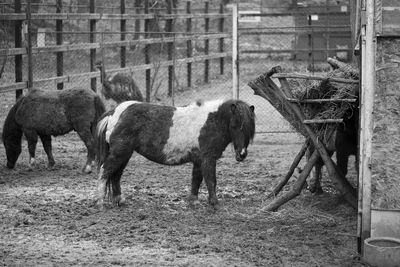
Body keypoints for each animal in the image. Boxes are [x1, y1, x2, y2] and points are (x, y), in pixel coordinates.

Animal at [95, 99, 255, 208]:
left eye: (249, 128)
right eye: (235, 125)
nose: (242, 154)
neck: (211, 121)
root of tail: (115, 112)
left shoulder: (199, 160)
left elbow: (196, 180)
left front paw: (193, 201)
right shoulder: (208, 159)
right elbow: (211, 180)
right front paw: (214, 203)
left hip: (125, 155)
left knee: (116, 175)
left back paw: (119, 199)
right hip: (120, 153)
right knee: (105, 171)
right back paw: (100, 201)